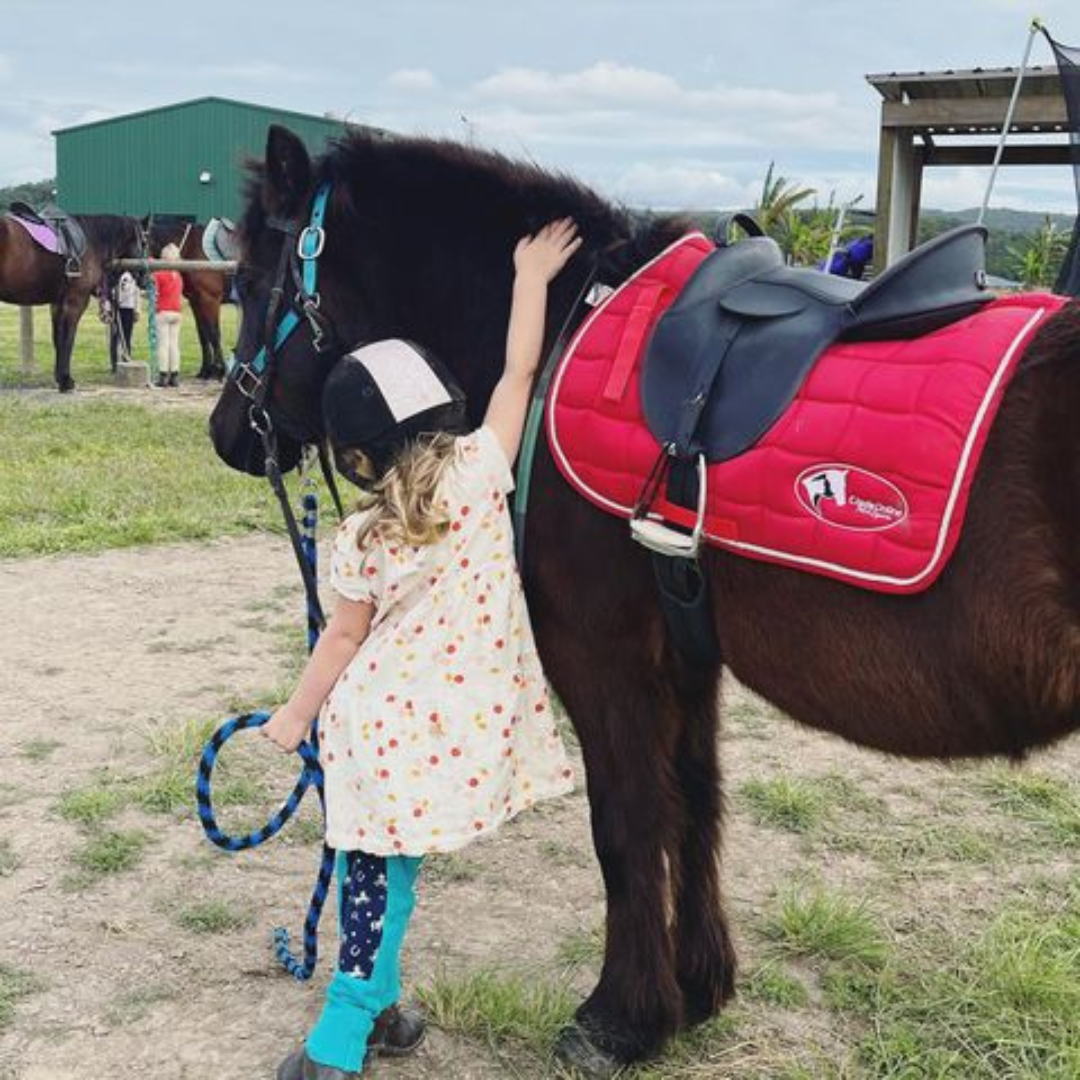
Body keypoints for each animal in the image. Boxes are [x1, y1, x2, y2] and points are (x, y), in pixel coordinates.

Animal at [0, 210, 144, 393]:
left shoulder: (58, 304)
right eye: (144, 242)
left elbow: (58, 339)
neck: (92, 240)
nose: (145, 277)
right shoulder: (75, 302)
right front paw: (66, 381)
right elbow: (68, 339)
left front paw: (59, 378)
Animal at [208, 124, 1080, 1071]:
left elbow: (626, 821)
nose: (227, 434)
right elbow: (694, 805)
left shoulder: (603, 656)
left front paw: (622, 1017)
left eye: (249, 280)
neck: (563, 329)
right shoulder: (686, 655)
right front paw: (699, 987)